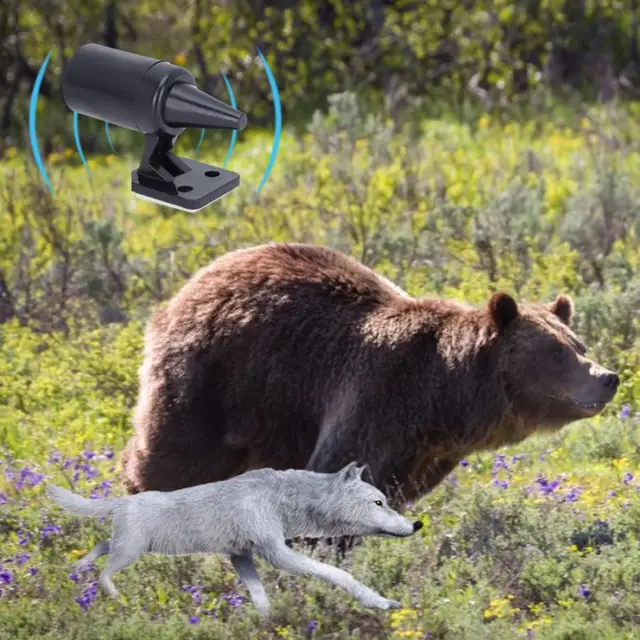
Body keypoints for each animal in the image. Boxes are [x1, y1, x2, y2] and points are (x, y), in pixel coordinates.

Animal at [121, 242, 620, 508]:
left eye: (579, 345)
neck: (444, 399)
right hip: (214, 380)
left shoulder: (422, 454)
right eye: (555, 353)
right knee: (176, 458)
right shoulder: (376, 395)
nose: (607, 376)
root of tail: (193, 282)